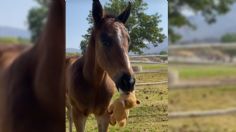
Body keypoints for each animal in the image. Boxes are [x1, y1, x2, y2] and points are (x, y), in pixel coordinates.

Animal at [67, 0, 136, 131]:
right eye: (104, 41)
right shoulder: (79, 115)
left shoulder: (103, 115)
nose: (128, 82)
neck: (94, 83)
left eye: (128, 40)